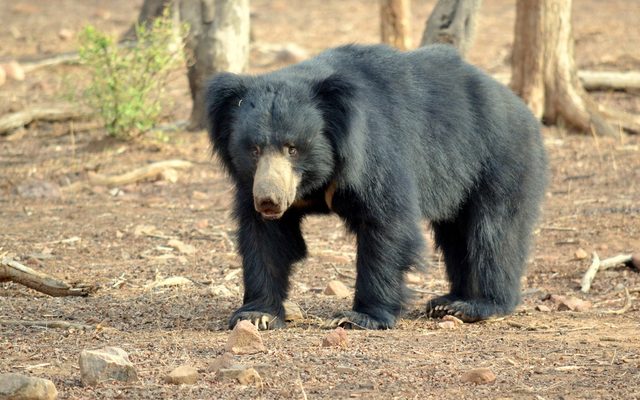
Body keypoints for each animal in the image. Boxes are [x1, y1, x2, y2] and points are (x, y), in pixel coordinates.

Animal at [206, 44, 548, 330]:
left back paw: (477, 305)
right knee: (457, 234)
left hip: (499, 160)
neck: (317, 180)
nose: (270, 201)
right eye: (253, 149)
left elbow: (387, 224)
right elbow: (266, 237)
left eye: (293, 148)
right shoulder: (252, 182)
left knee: (493, 233)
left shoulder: (375, 153)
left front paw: (358, 317)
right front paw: (257, 314)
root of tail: (521, 108)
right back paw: (448, 302)